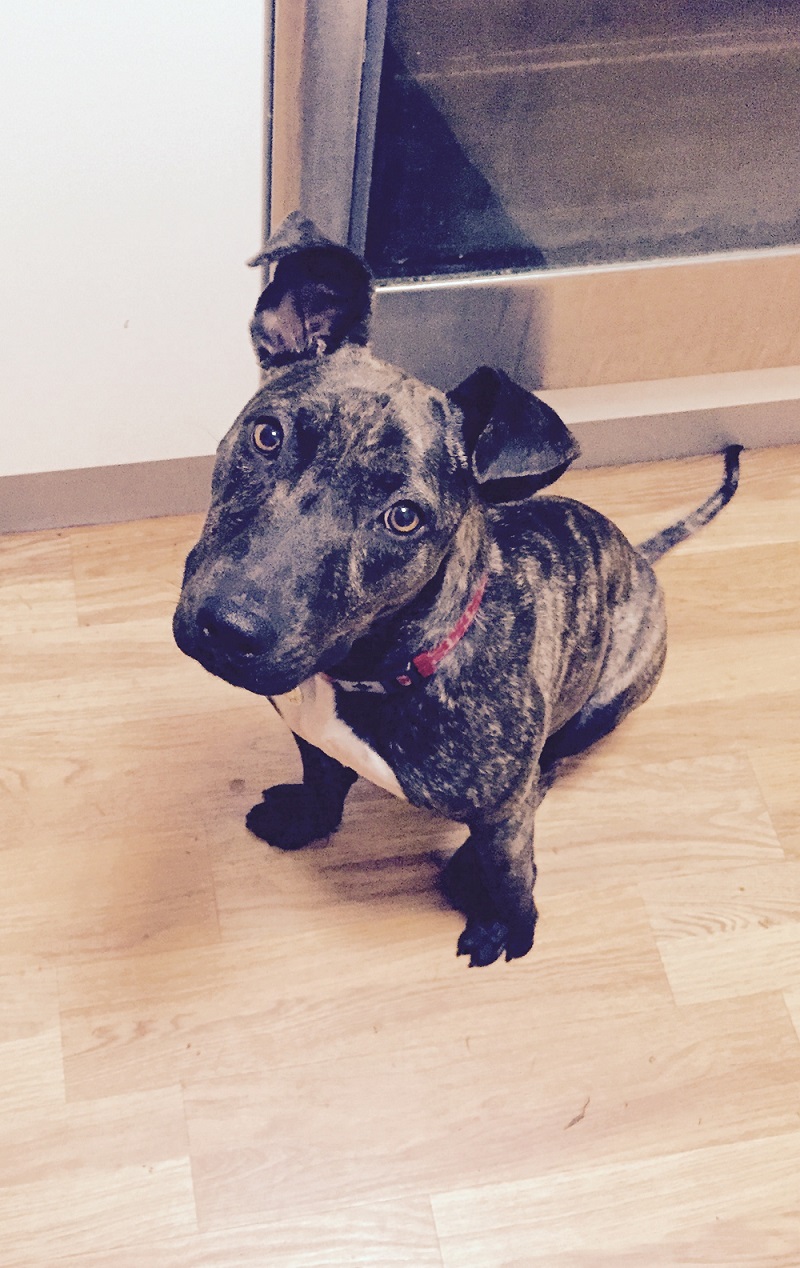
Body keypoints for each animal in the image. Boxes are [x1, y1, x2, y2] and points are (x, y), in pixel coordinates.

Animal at [173, 213, 741, 967]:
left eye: (403, 518)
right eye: (268, 436)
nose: (228, 627)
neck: (374, 668)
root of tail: (637, 556)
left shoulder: (502, 810)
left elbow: (510, 863)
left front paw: (507, 920)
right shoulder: (308, 732)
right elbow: (324, 779)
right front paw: (307, 819)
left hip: (607, 697)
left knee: (550, 765)